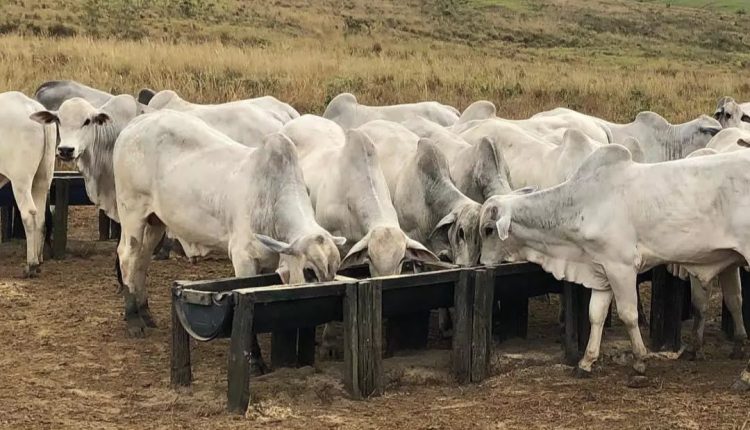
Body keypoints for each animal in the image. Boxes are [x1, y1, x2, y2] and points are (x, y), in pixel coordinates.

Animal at [0, 92, 57, 278]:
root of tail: (34, 107)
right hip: (43, 178)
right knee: (40, 218)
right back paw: (38, 262)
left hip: (21, 181)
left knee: (29, 215)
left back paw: (30, 264)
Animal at [113, 109, 346, 344]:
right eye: (309, 272)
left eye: (335, 270)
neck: (271, 197)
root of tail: (138, 121)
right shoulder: (243, 257)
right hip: (132, 212)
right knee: (127, 256)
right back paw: (134, 319)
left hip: (155, 221)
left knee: (142, 259)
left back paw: (145, 312)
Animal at [478, 145, 750, 382]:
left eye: (489, 229)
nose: (483, 262)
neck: (582, 203)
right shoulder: (602, 270)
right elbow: (595, 315)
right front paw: (586, 362)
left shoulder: (622, 268)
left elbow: (628, 315)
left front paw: (640, 360)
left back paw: (744, 375)